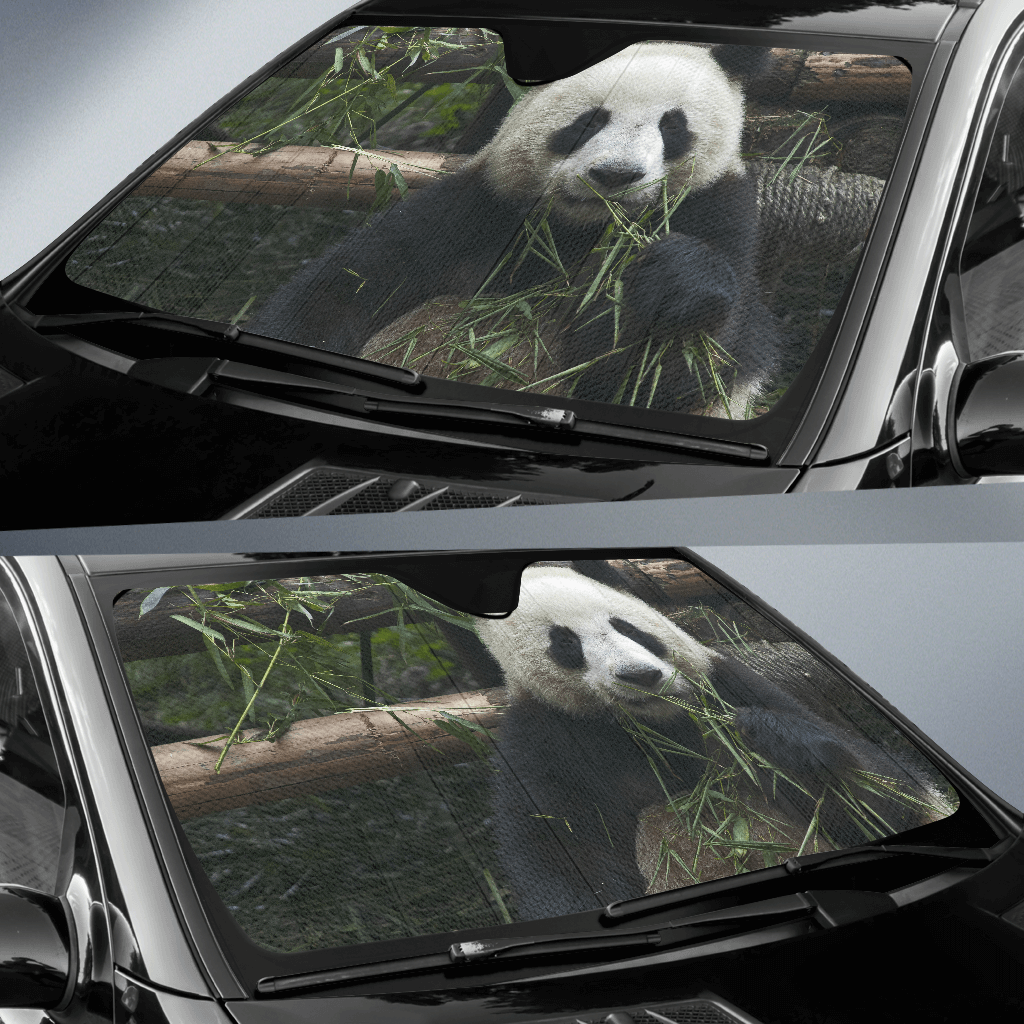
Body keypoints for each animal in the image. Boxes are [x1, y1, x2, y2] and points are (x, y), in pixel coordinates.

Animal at [251, 42, 782, 414]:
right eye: (589, 120)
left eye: (672, 125)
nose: (617, 175)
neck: (575, 230)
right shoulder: (475, 213)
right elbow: (341, 290)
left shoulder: (718, 211)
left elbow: (669, 377)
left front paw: (676, 282)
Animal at [472, 565, 933, 921]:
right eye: (566, 644)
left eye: (626, 626)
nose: (640, 676)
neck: (657, 727)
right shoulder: (543, 746)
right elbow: (563, 864)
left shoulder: (728, 683)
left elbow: (890, 800)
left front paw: (776, 737)